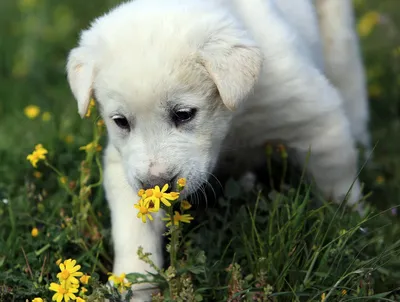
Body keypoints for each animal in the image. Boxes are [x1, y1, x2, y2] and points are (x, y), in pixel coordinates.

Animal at [65, 0, 368, 300]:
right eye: (121, 121)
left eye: (183, 114)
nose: (155, 184)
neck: (232, 123)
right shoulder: (124, 166)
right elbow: (134, 232)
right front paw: (132, 285)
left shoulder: (313, 116)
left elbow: (336, 177)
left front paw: (347, 222)